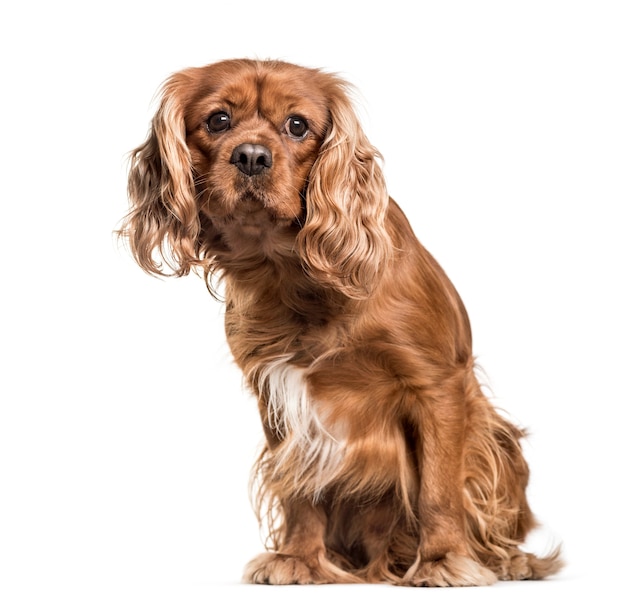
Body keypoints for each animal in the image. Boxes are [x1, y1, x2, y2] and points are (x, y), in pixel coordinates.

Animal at [117, 59, 560, 588]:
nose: (251, 157)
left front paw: (442, 560)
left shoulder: (438, 385)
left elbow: (438, 488)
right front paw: (298, 558)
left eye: (297, 125)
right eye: (218, 120)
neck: (291, 273)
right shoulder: (279, 389)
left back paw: (510, 560)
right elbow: (298, 485)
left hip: (499, 439)